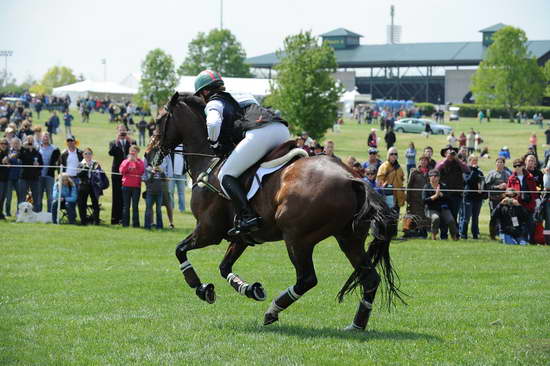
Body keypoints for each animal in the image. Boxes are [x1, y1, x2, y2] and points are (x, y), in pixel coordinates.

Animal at [149, 92, 404, 332]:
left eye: (160, 120)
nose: (149, 154)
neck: (209, 160)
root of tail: (352, 179)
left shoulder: (208, 231)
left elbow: (180, 251)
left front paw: (201, 288)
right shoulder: (240, 236)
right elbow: (224, 268)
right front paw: (250, 289)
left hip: (297, 238)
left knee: (307, 279)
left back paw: (272, 310)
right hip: (349, 238)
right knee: (370, 278)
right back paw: (357, 324)